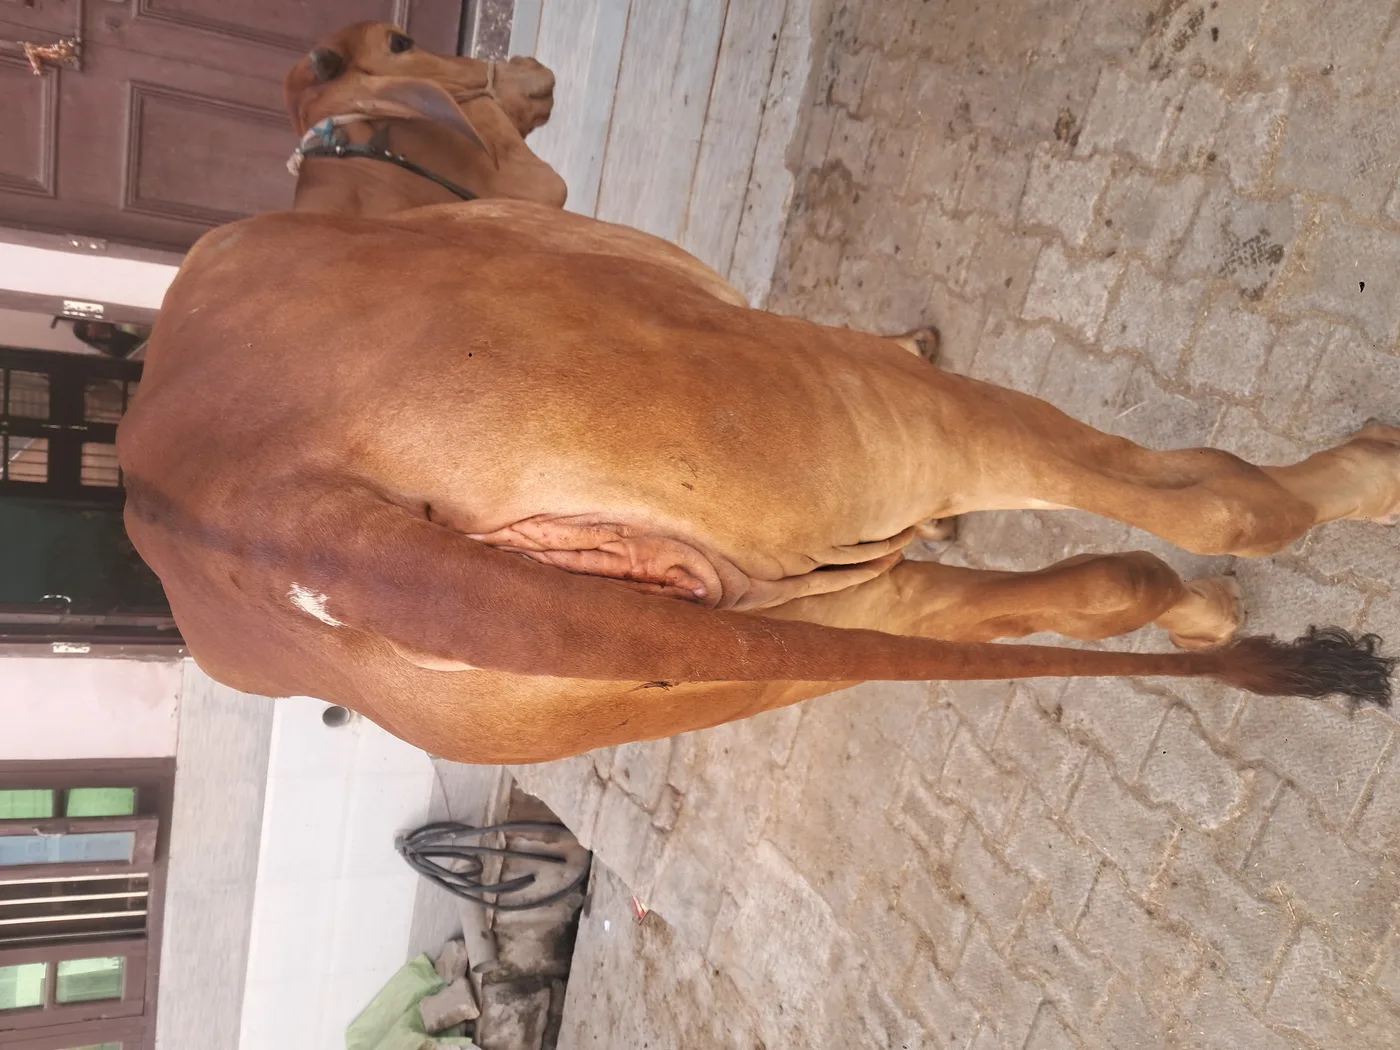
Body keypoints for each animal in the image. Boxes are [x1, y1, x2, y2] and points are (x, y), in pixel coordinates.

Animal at [116, 23, 1397, 764]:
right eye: (402, 36)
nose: (521, 58)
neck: (366, 198)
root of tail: (288, 511)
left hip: (780, 632)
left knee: (1104, 585)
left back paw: (1203, 612)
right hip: (861, 415)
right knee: (1210, 506)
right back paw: (1361, 479)